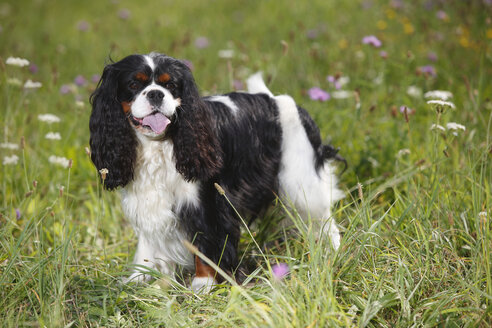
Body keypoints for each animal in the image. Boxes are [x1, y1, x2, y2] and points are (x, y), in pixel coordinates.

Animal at [88, 52, 344, 290]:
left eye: (170, 85)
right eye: (134, 84)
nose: (156, 94)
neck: (159, 145)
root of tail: (273, 99)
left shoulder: (208, 202)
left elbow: (206, 242)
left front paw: (203, 284)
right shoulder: (147, 201)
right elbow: (148, 243)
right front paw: (139, 277)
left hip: (302, 183)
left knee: (326, 221)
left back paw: (332, 253)